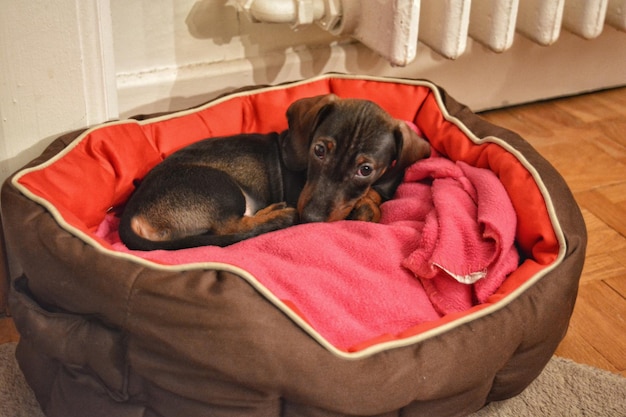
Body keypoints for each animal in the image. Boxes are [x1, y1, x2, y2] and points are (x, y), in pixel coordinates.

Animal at [117, 94, 428, 250]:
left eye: (365, 169)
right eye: (319, 150)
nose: (310, 219)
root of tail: (132, 214)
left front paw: (369, 201)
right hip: (220, 187)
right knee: (230, 228)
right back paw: (276, 215)